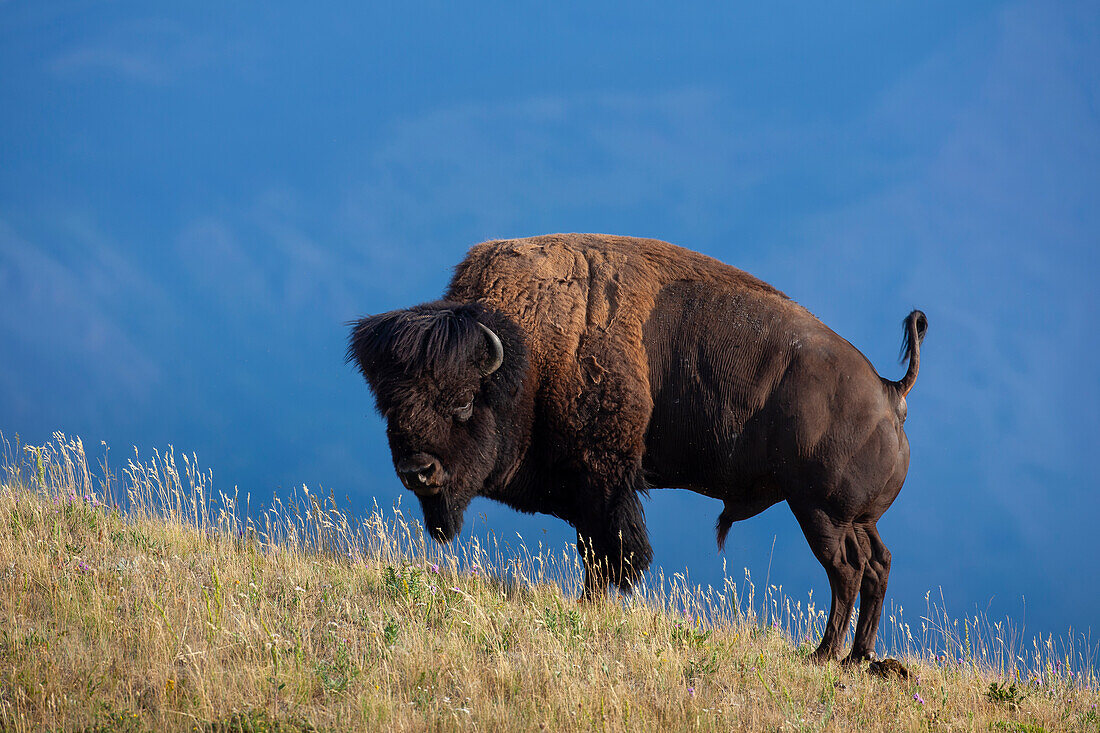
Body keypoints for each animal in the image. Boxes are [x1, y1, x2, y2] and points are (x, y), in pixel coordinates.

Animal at [347, 234, 924, 660]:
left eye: (465, 402)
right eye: (389, 407)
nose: (418, 470)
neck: (529, 357)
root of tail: (888, 390)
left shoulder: (604, 482)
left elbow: (612, 552)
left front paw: (591, 605)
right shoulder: (587, 493)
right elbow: (595, 550)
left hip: (820, 513)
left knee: (846, 571)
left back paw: (823, 656)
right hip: (854, 518)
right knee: (877, 565)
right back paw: (859, 659)